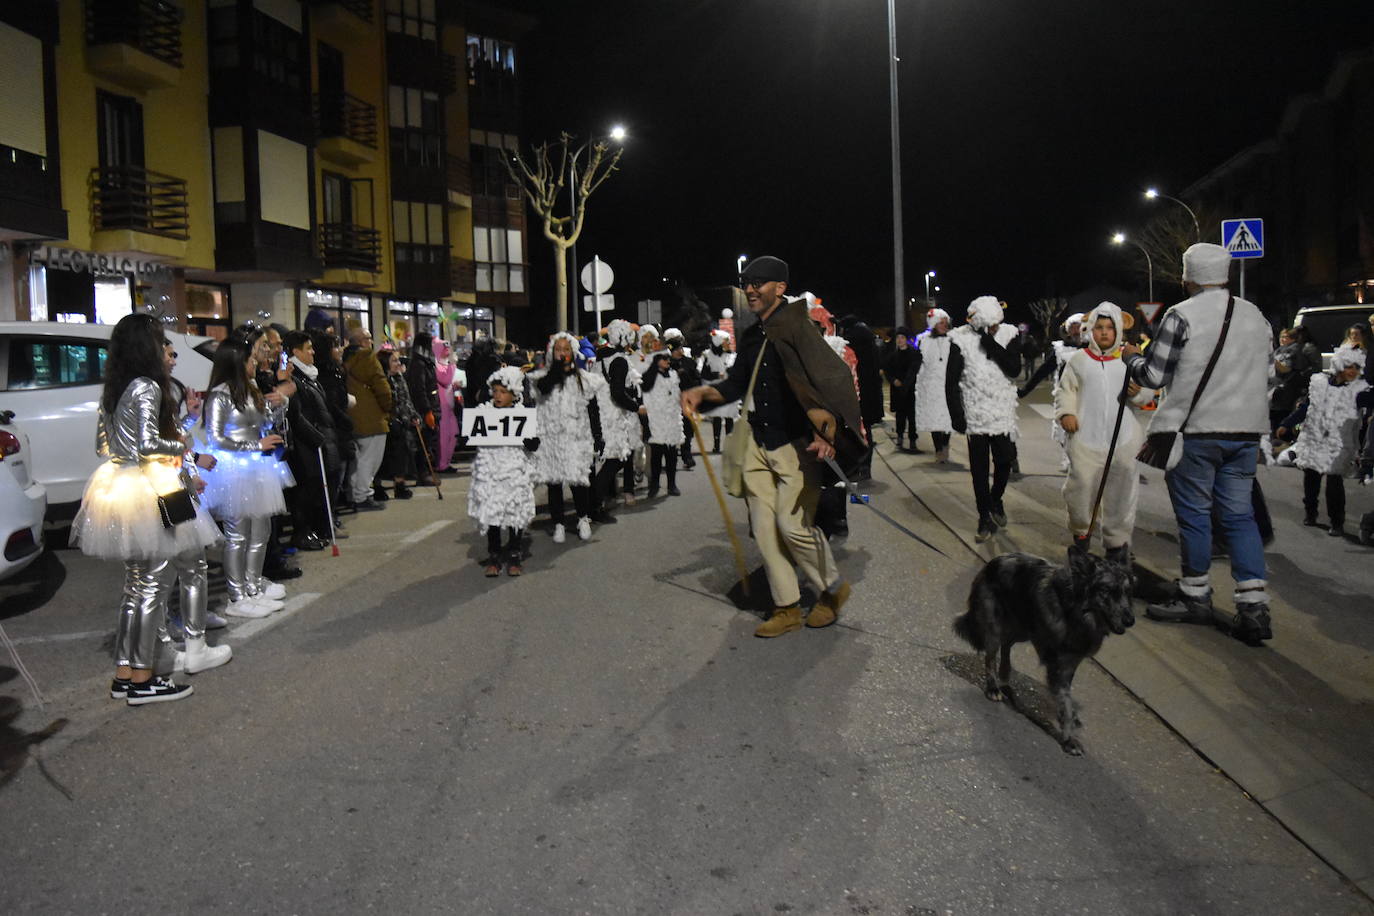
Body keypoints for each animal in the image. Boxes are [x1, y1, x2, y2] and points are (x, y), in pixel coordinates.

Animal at [956, 549, 1137, 758]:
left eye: (1128, 592)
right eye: (1106, 591)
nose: (1131, 620)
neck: (1074, 612)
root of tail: (994, 561)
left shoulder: (1072, 662)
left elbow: (1066, 699)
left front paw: (1069, 719)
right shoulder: (1058, 667)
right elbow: (1065, 702)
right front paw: (1068, 739)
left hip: (1024, 629)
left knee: (1006, 644)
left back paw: (1005, 676)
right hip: (995, 626)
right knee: (991, 655)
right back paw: (993, 687)